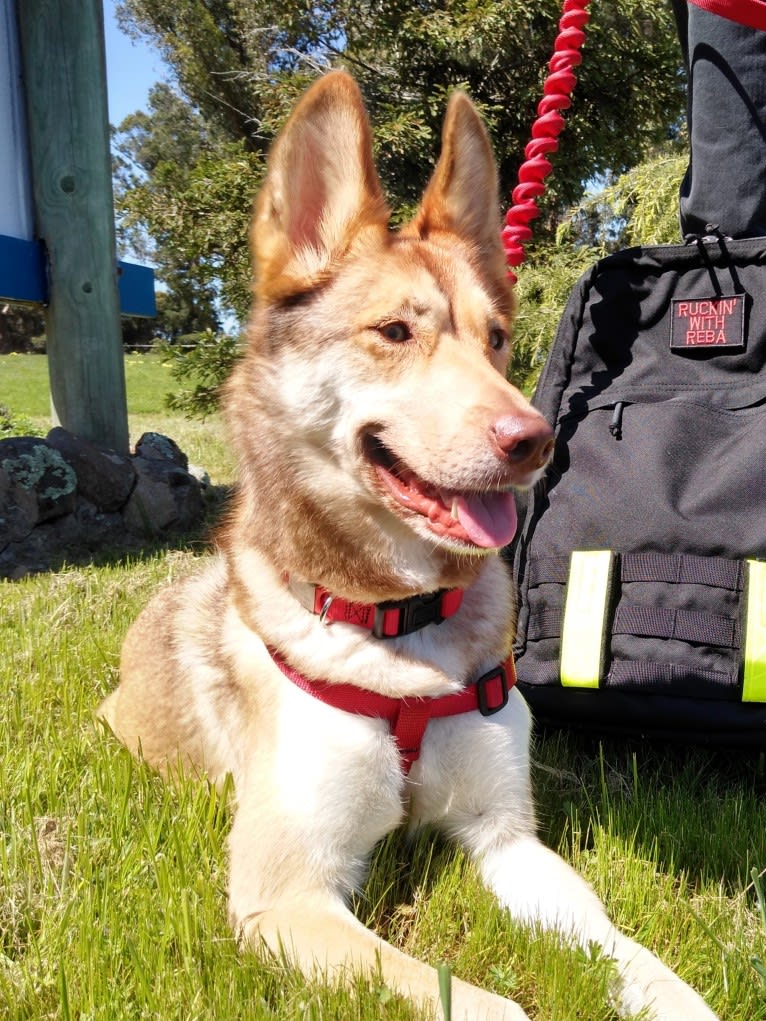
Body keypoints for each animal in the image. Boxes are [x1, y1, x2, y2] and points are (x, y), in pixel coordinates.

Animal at [100, 74, 719, 1021]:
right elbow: (491, 1004)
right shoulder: (287, 896)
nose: (533, 439)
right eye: (395, 332)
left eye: (497, 337)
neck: (401, 627)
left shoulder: (507, 837)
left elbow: (625, 947)